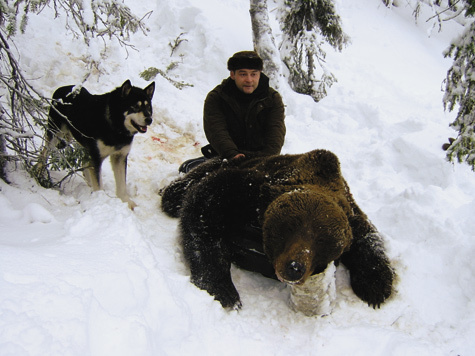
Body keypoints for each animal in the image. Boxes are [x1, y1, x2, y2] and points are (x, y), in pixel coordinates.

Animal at [41, 80, 155, 209]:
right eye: (135, 106)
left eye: (148, 107)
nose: (149, 119)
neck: (116, 128)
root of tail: (62, 89)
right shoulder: (97, 157)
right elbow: (99, 184)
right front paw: (101, 200)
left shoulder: (120, 157)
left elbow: (122, 184)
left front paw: (127, 202)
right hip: (55, 134)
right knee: (44, 153)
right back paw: (41, 174)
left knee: (84, 162)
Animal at [160, 149, 394, 310]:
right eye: (291, 227)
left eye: (324, 243)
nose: (295, 267)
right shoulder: (251, 186)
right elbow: (204, 205)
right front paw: (223, 290)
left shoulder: (351, 211)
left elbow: (368, 237)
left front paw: (377, 286)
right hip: (233, 159)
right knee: (191, 182)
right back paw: (174, 190)